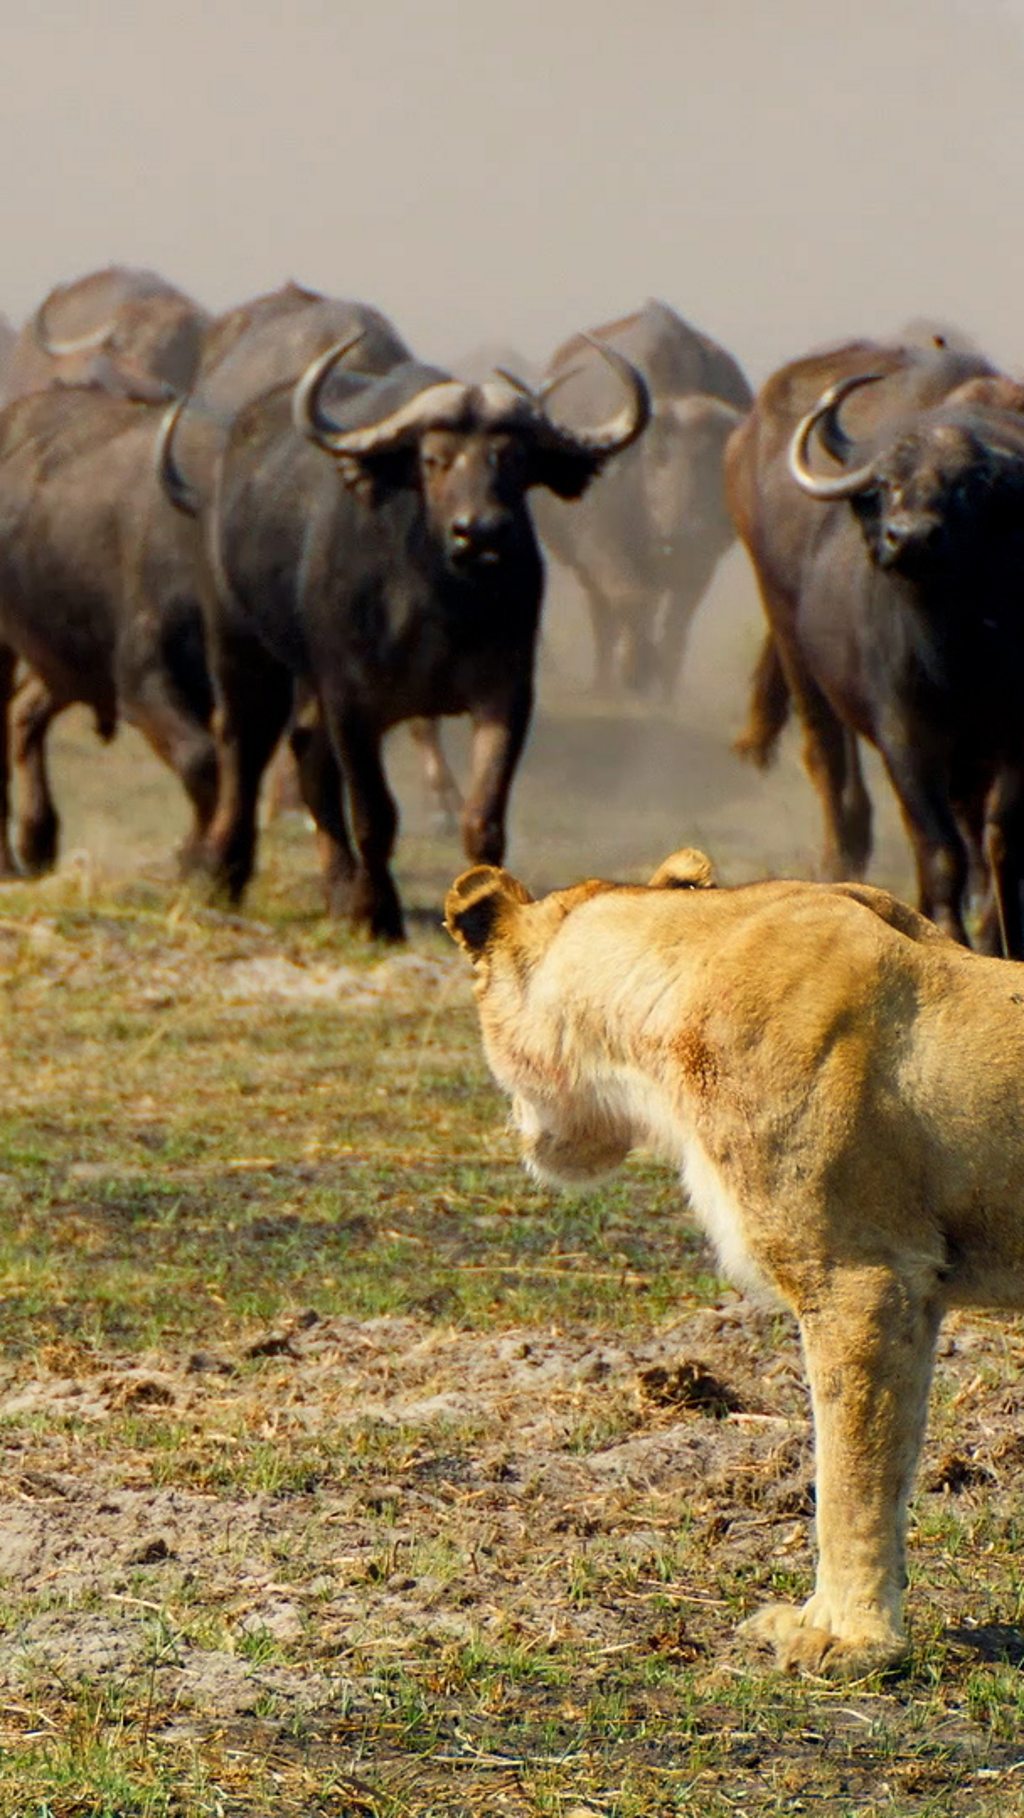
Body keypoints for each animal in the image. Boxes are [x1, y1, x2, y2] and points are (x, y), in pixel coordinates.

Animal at [538, 298, 752, 694]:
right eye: (655, 454)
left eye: (710, 456)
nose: (686, 531)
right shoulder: (598, 546)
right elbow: (628, 599)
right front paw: (636, 669)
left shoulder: (700, 563)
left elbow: (676, 626)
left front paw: (663, 687)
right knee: (604, 615)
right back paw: (604, 680)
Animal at [723, 341, 1024, 959]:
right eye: (888, 483)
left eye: (970, 485)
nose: (909, 537)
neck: (959, 653)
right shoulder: (906, 737)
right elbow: (941, 850)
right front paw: (948, 934)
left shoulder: (1011, 739)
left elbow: (999, 841)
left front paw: (996, 934)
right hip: (789, 632)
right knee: (826, 754)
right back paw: (839, 865)